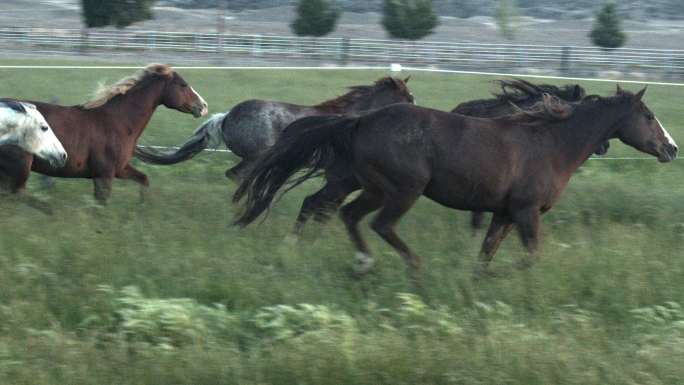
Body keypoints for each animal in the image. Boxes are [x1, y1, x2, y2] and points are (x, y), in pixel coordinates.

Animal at [0, 63, 208, 201]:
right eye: (183, 84)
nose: (203, 106)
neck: (118, 122)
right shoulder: (104, 175)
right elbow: (101, 204)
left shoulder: (120, 169)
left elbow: (144, 180)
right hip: (19, 169)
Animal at [292, 78, 608, 236]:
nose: (604, 146)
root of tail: (353, 122)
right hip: (347, 181)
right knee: (315, 205)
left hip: (354, 183)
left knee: (322, 207)